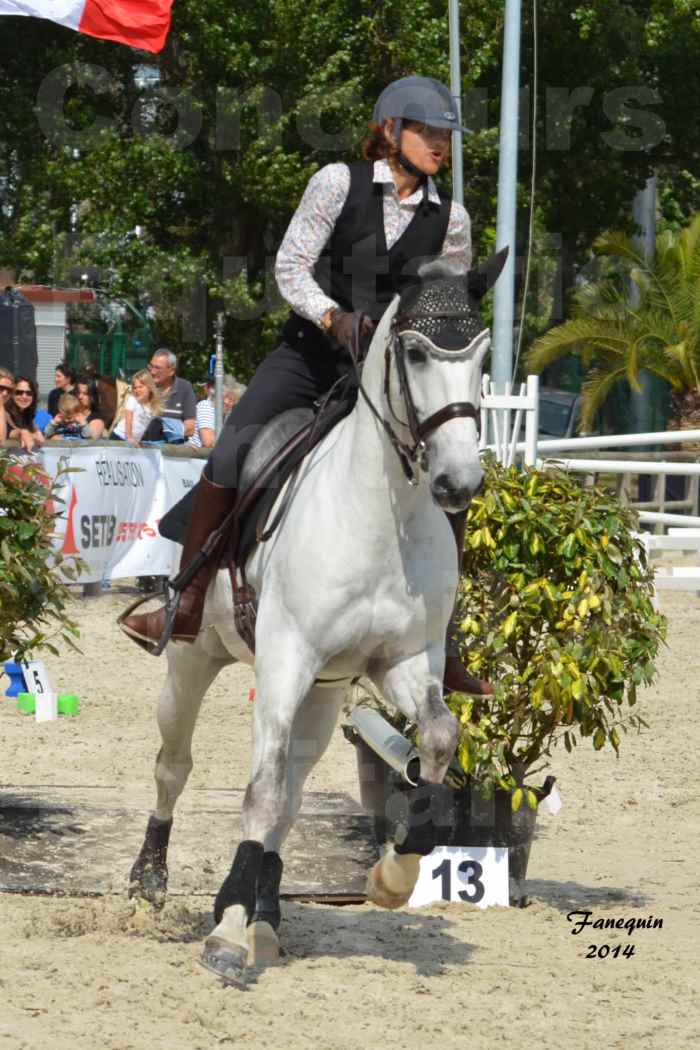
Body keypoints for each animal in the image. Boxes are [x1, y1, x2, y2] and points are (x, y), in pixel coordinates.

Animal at [128, 251, 505, 982]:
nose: (458, 484)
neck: (383, 515)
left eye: (482, 356)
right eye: (415, 354)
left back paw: (266, 918)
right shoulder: (285, 659)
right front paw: (225, 932)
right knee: (173, 765)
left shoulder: (402, 664)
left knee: (295, 795)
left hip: (326, 695)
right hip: (195, 657)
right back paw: (148, 885)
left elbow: (436, 743)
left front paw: (393, 875)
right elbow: (261, 790)